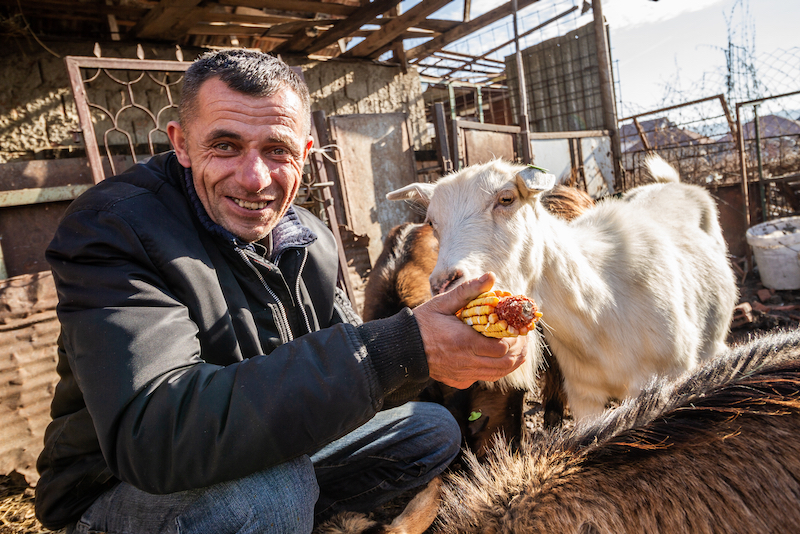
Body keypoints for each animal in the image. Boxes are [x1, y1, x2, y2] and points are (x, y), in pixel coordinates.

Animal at [388, 157, 736, 420]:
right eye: (432, 222)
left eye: (506, 199)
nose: (445, 283)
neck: (603, 308)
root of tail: (671, 182)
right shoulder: (583, 395)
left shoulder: (664, 378)